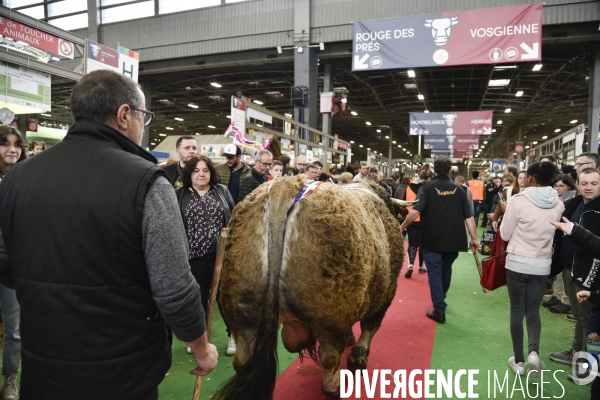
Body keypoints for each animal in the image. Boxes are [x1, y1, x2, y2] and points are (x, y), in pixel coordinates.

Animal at [213, 174, 406, 396]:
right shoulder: (387, 291)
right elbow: (370, 327)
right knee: (329, 358)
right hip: (331, 317)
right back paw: (335, 387)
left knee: (243, 360)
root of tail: (285, 185)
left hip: (243, 316)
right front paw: (358, 356)